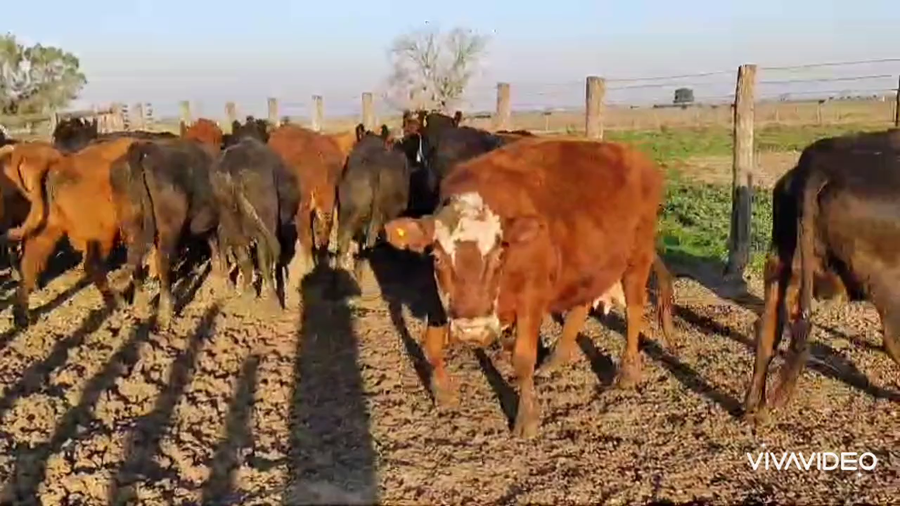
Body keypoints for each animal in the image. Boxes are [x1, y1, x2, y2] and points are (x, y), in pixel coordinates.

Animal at [0, 139, 139, 327]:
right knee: (93, 263)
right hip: (102, 225)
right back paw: (117, 302)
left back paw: (21, 317)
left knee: (32, 257)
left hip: (54, 220)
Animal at [110, 138, 228, 328]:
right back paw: (165, 315)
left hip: (130, 226)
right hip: (169, 228)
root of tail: (141, 150)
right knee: (163, 263)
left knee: (136, 262)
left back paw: (141, 308)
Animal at [212, 136, 301, 308]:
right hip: (265, 226)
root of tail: (233, 173)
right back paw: (274, 300)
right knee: (264, 260)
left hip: (233, 226)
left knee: (244, 259)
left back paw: (247, 291)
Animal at [383, 137, 675, 438]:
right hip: (588, 266)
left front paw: (527, 417)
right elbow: (431, 344)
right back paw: (556, 359)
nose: (472, 331)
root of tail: (638, 159)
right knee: (580, 307)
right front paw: (442, 392)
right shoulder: (441, 300)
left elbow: (523, 359)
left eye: (499, 254)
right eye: (437, 257)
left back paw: (628, 372)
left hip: (638, 259)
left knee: (634, 311)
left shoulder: (531, 301)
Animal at [743, 128, 900, 422]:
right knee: (895, 340)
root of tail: (816, 164)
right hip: (888, 283)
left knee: (767, 329)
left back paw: (753, 408)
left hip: (780, 262)